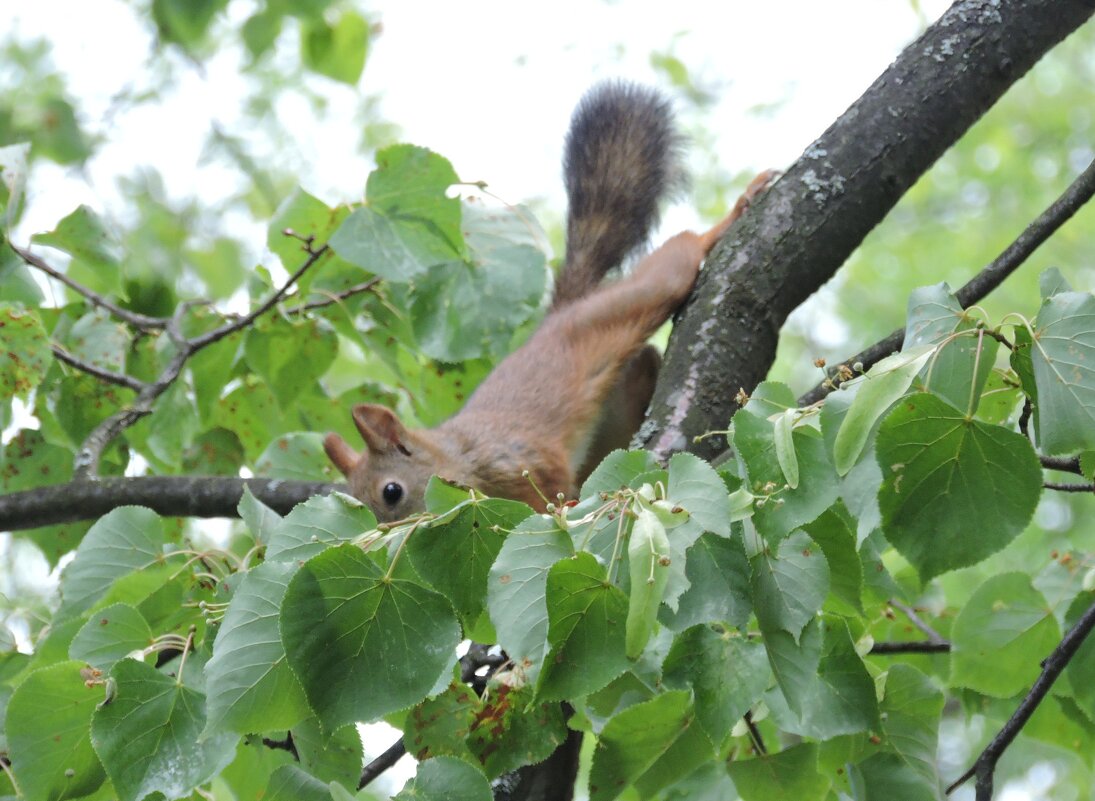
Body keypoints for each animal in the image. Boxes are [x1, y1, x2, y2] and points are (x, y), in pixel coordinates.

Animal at [321, 81, 770, 518]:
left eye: (392, 491)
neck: (461, 453)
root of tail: (562, 311)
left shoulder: (522, 458)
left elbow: (550, 486)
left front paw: (561, 508)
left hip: (644, 293)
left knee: (680, 255)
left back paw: (737, 209)